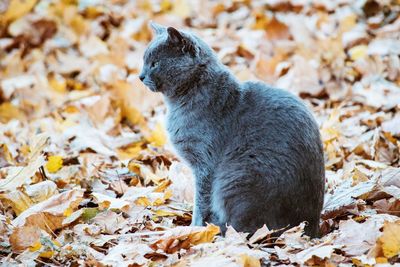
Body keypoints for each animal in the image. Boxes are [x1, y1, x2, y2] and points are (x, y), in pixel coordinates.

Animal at [138, 22, 324, 237]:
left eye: (155, 63)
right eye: (144, 60)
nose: (140, 76)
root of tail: (312, 225)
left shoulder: (205, 165)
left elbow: (201, 201)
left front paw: (194, 229)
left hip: (241, 177)